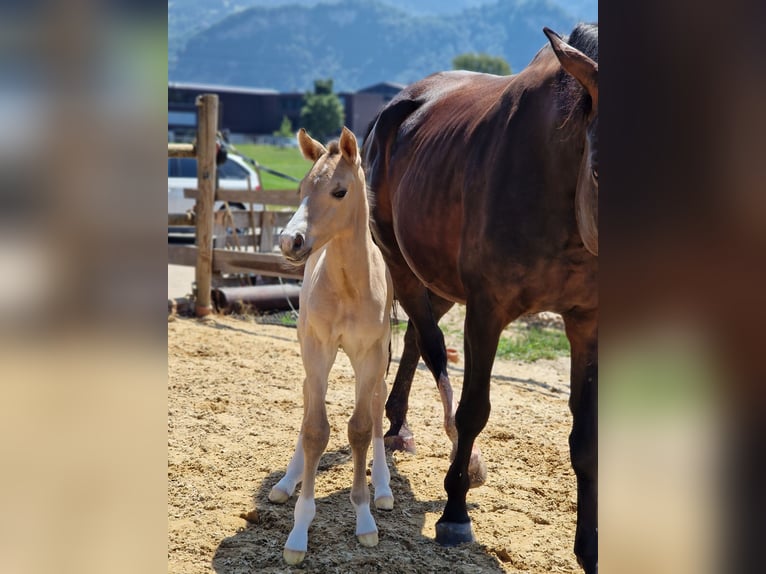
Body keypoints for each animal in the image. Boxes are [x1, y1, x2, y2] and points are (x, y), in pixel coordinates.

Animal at [271, 127, 395, 565]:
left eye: (339, 191)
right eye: (302, 189)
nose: (290, 241)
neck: (347, 286)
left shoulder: (370, 355)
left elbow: (360, 428)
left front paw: (364, 518)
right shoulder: (318, 350)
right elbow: (314, 429)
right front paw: (299, 530)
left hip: (380, 358)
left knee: (377, 405)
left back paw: (385, 488)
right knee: (309, 397)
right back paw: (287, 481)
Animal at [363, 24, 598, 572]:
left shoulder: (587, 320)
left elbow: (587, 436)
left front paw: (591, 545)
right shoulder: (487, 309)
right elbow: (475, 408)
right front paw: (455, 514)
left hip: (437, 278)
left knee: (415, 335)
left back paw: (401, 425)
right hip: (400, 262)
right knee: (429, 345)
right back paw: (452, 455)